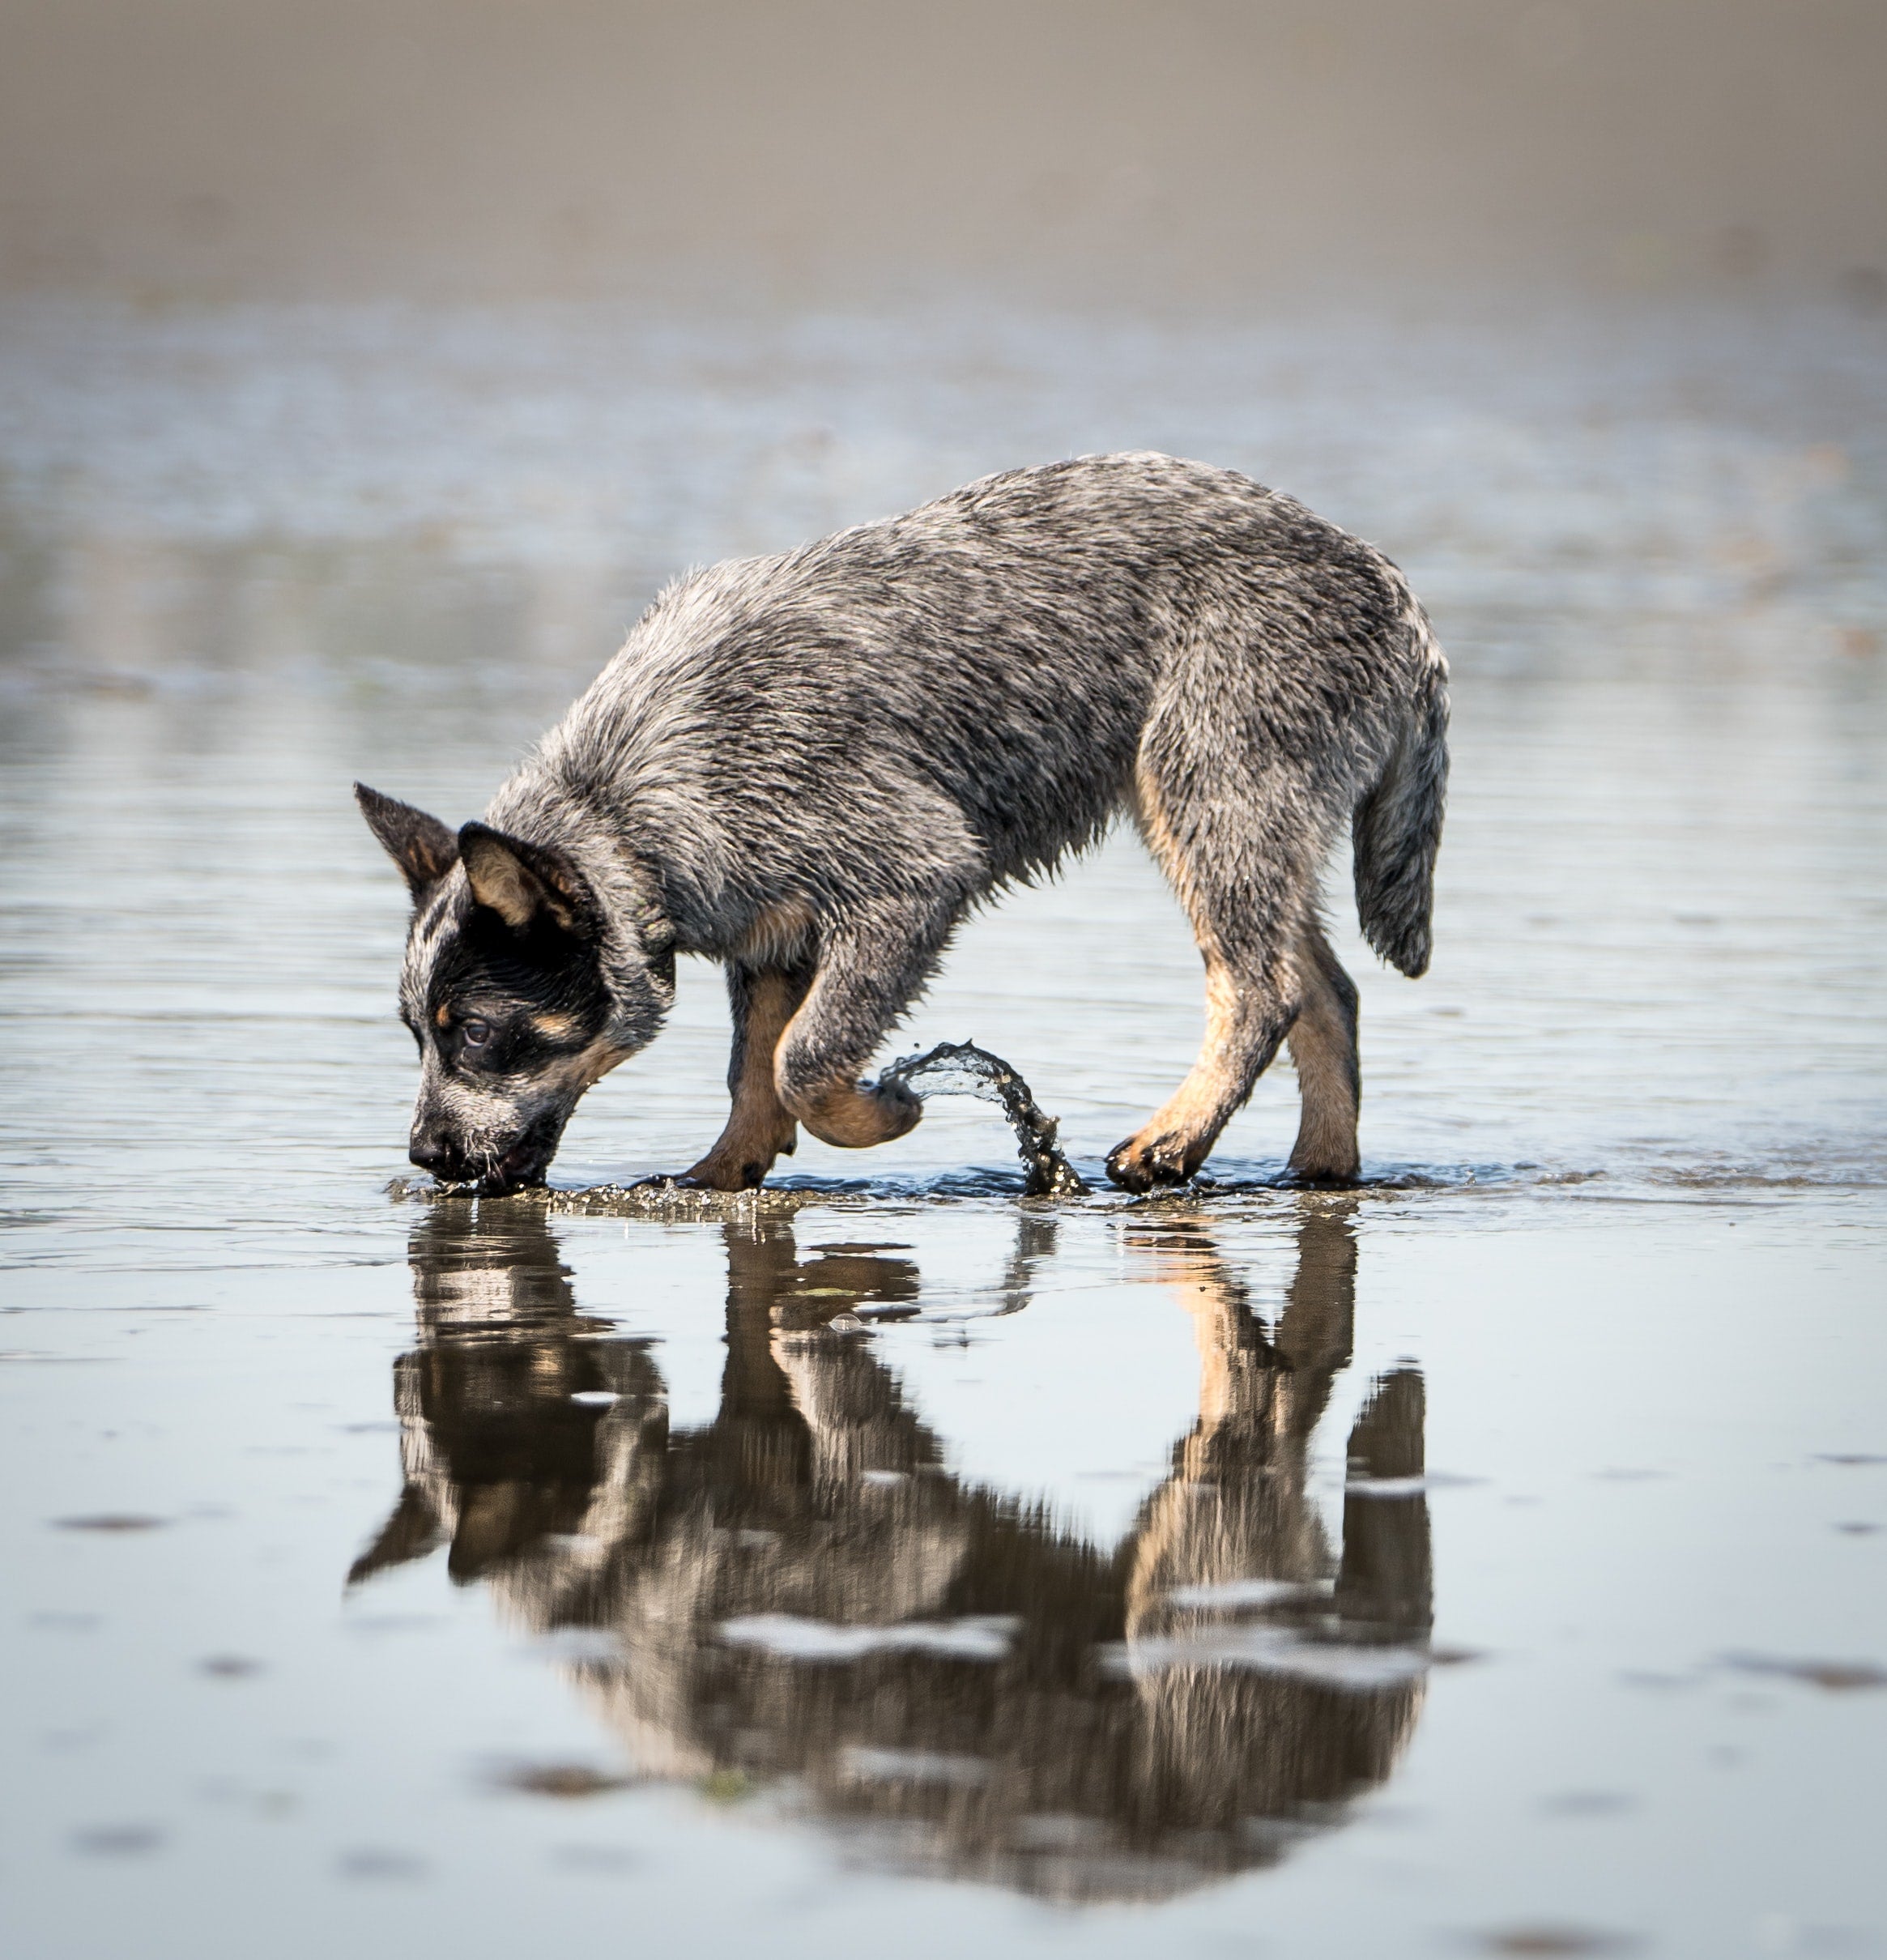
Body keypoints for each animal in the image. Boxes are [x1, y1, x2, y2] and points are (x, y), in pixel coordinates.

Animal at [358, 454, 1450, 1191]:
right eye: (414, 1033)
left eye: (477, 1033)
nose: (424, 1154)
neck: (630, 796)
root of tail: (1388, 585)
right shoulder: (769, 926)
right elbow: (751, 1067)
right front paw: (723, 1173)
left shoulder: (911, 876)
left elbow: (803, 1060)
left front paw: (881, 1112)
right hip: (1246, 823)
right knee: (1326, 994)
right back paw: (1317, 1170)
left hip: (1206, 795)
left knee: (1261, 990)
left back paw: (1171, 1140)